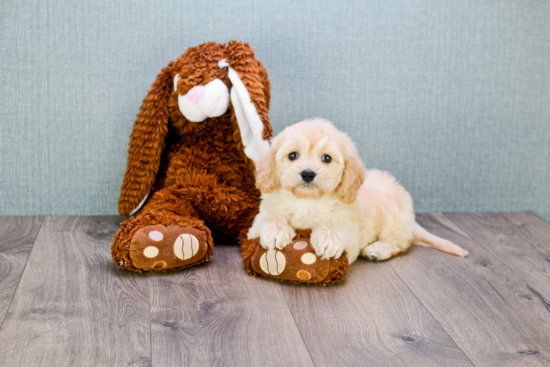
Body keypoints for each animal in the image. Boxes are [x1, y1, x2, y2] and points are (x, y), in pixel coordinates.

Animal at [248, 118, 468, 264]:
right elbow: (270, 218)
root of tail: (411, 219)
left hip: (392, 219)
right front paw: (275, 232)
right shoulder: (258, 220)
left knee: (402, 241)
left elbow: (336, 227)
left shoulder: (349, 228)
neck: (307, 200)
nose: (308, 174)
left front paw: (328, 240)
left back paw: (378, 250)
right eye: (292, 155)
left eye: (327, 158)